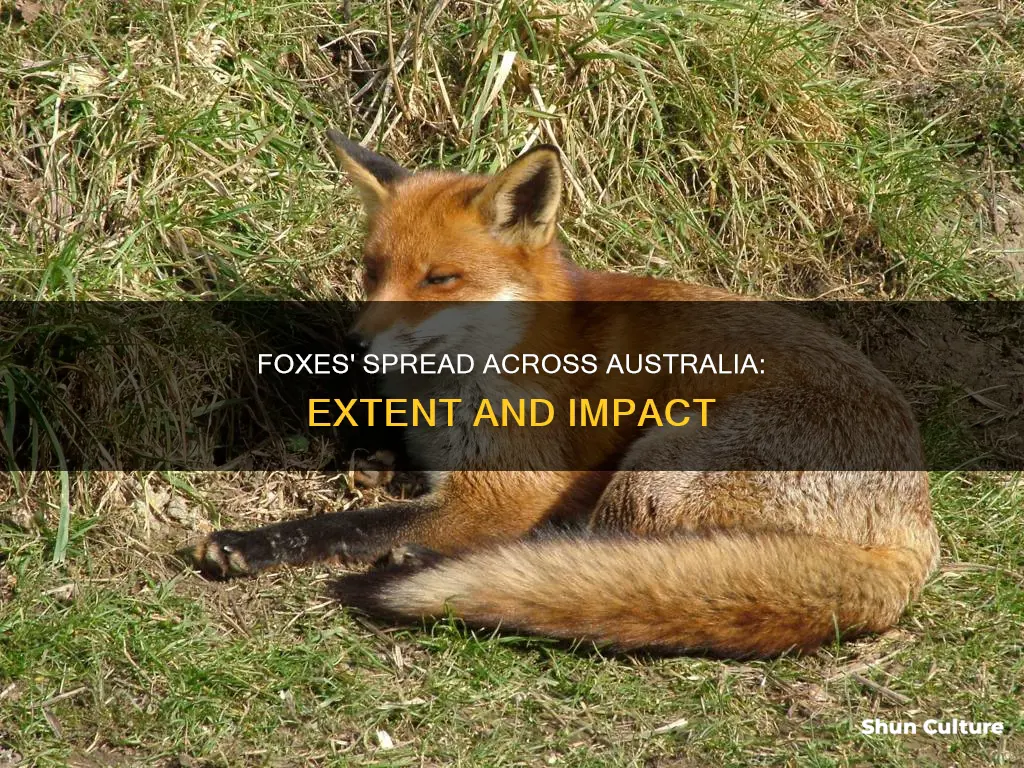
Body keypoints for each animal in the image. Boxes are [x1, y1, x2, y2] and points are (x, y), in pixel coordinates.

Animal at [191, 131, 940, 658]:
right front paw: (367, 461)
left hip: (658, 471)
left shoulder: (500, 492)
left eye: (439, 279)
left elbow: (346, 526)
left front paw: (250, 543)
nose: (351, 345)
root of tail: (915, 537)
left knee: (602, 556)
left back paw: (431, 565)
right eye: (372, 272)